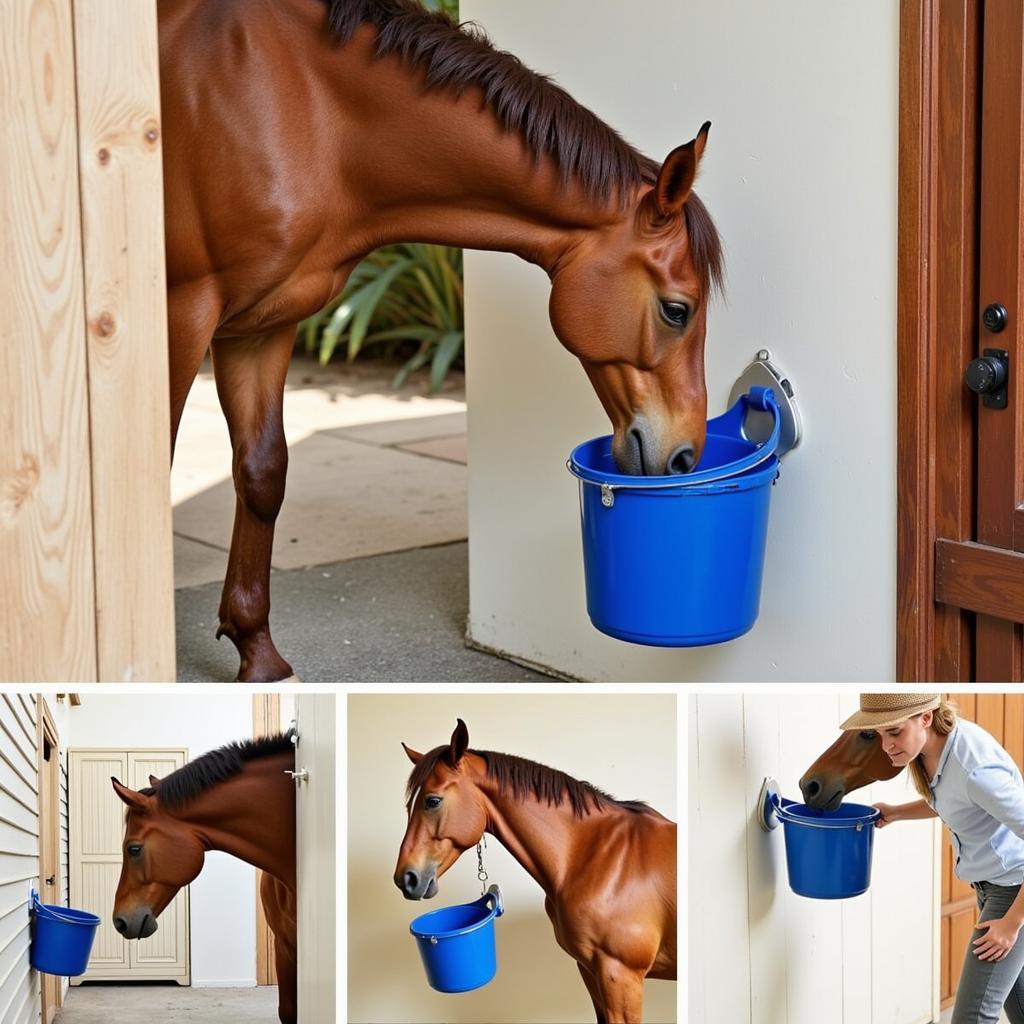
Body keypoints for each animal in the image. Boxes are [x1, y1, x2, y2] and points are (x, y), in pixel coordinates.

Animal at [157, 2, 720, 688]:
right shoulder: (181, 316)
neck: (299, 106)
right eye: (677, 310)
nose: (686, 457)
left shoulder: (262, 325)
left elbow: (263, 473)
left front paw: (256, 653)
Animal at [395, 720, 675, 1024]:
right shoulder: (590, 970)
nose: (405, 878)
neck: (594, 858)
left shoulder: (620, 976)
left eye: (432, 801)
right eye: (409, 805)